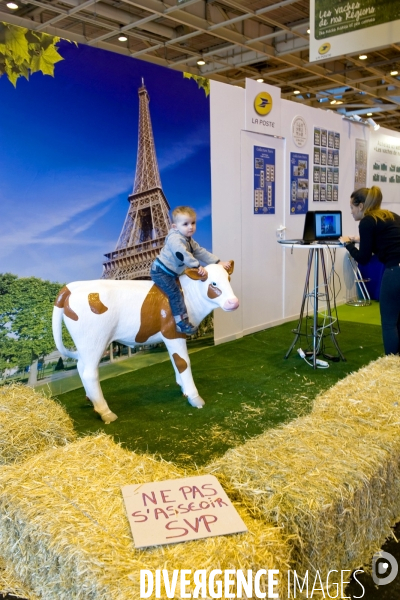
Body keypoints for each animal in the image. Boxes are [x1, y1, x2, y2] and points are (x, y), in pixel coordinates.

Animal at [50, 262, 238, 422]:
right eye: (214, 283)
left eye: (229, 280)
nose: (233, 302)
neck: (187, 295)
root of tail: (74, 286)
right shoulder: (172, 332)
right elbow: (183, 362)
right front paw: (194, 397)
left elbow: (175, 361)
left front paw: (184, 389)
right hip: (95, 340)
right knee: (90, 373)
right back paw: (106, 412)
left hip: (85, 343)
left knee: (81, 367)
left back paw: (92, 401)